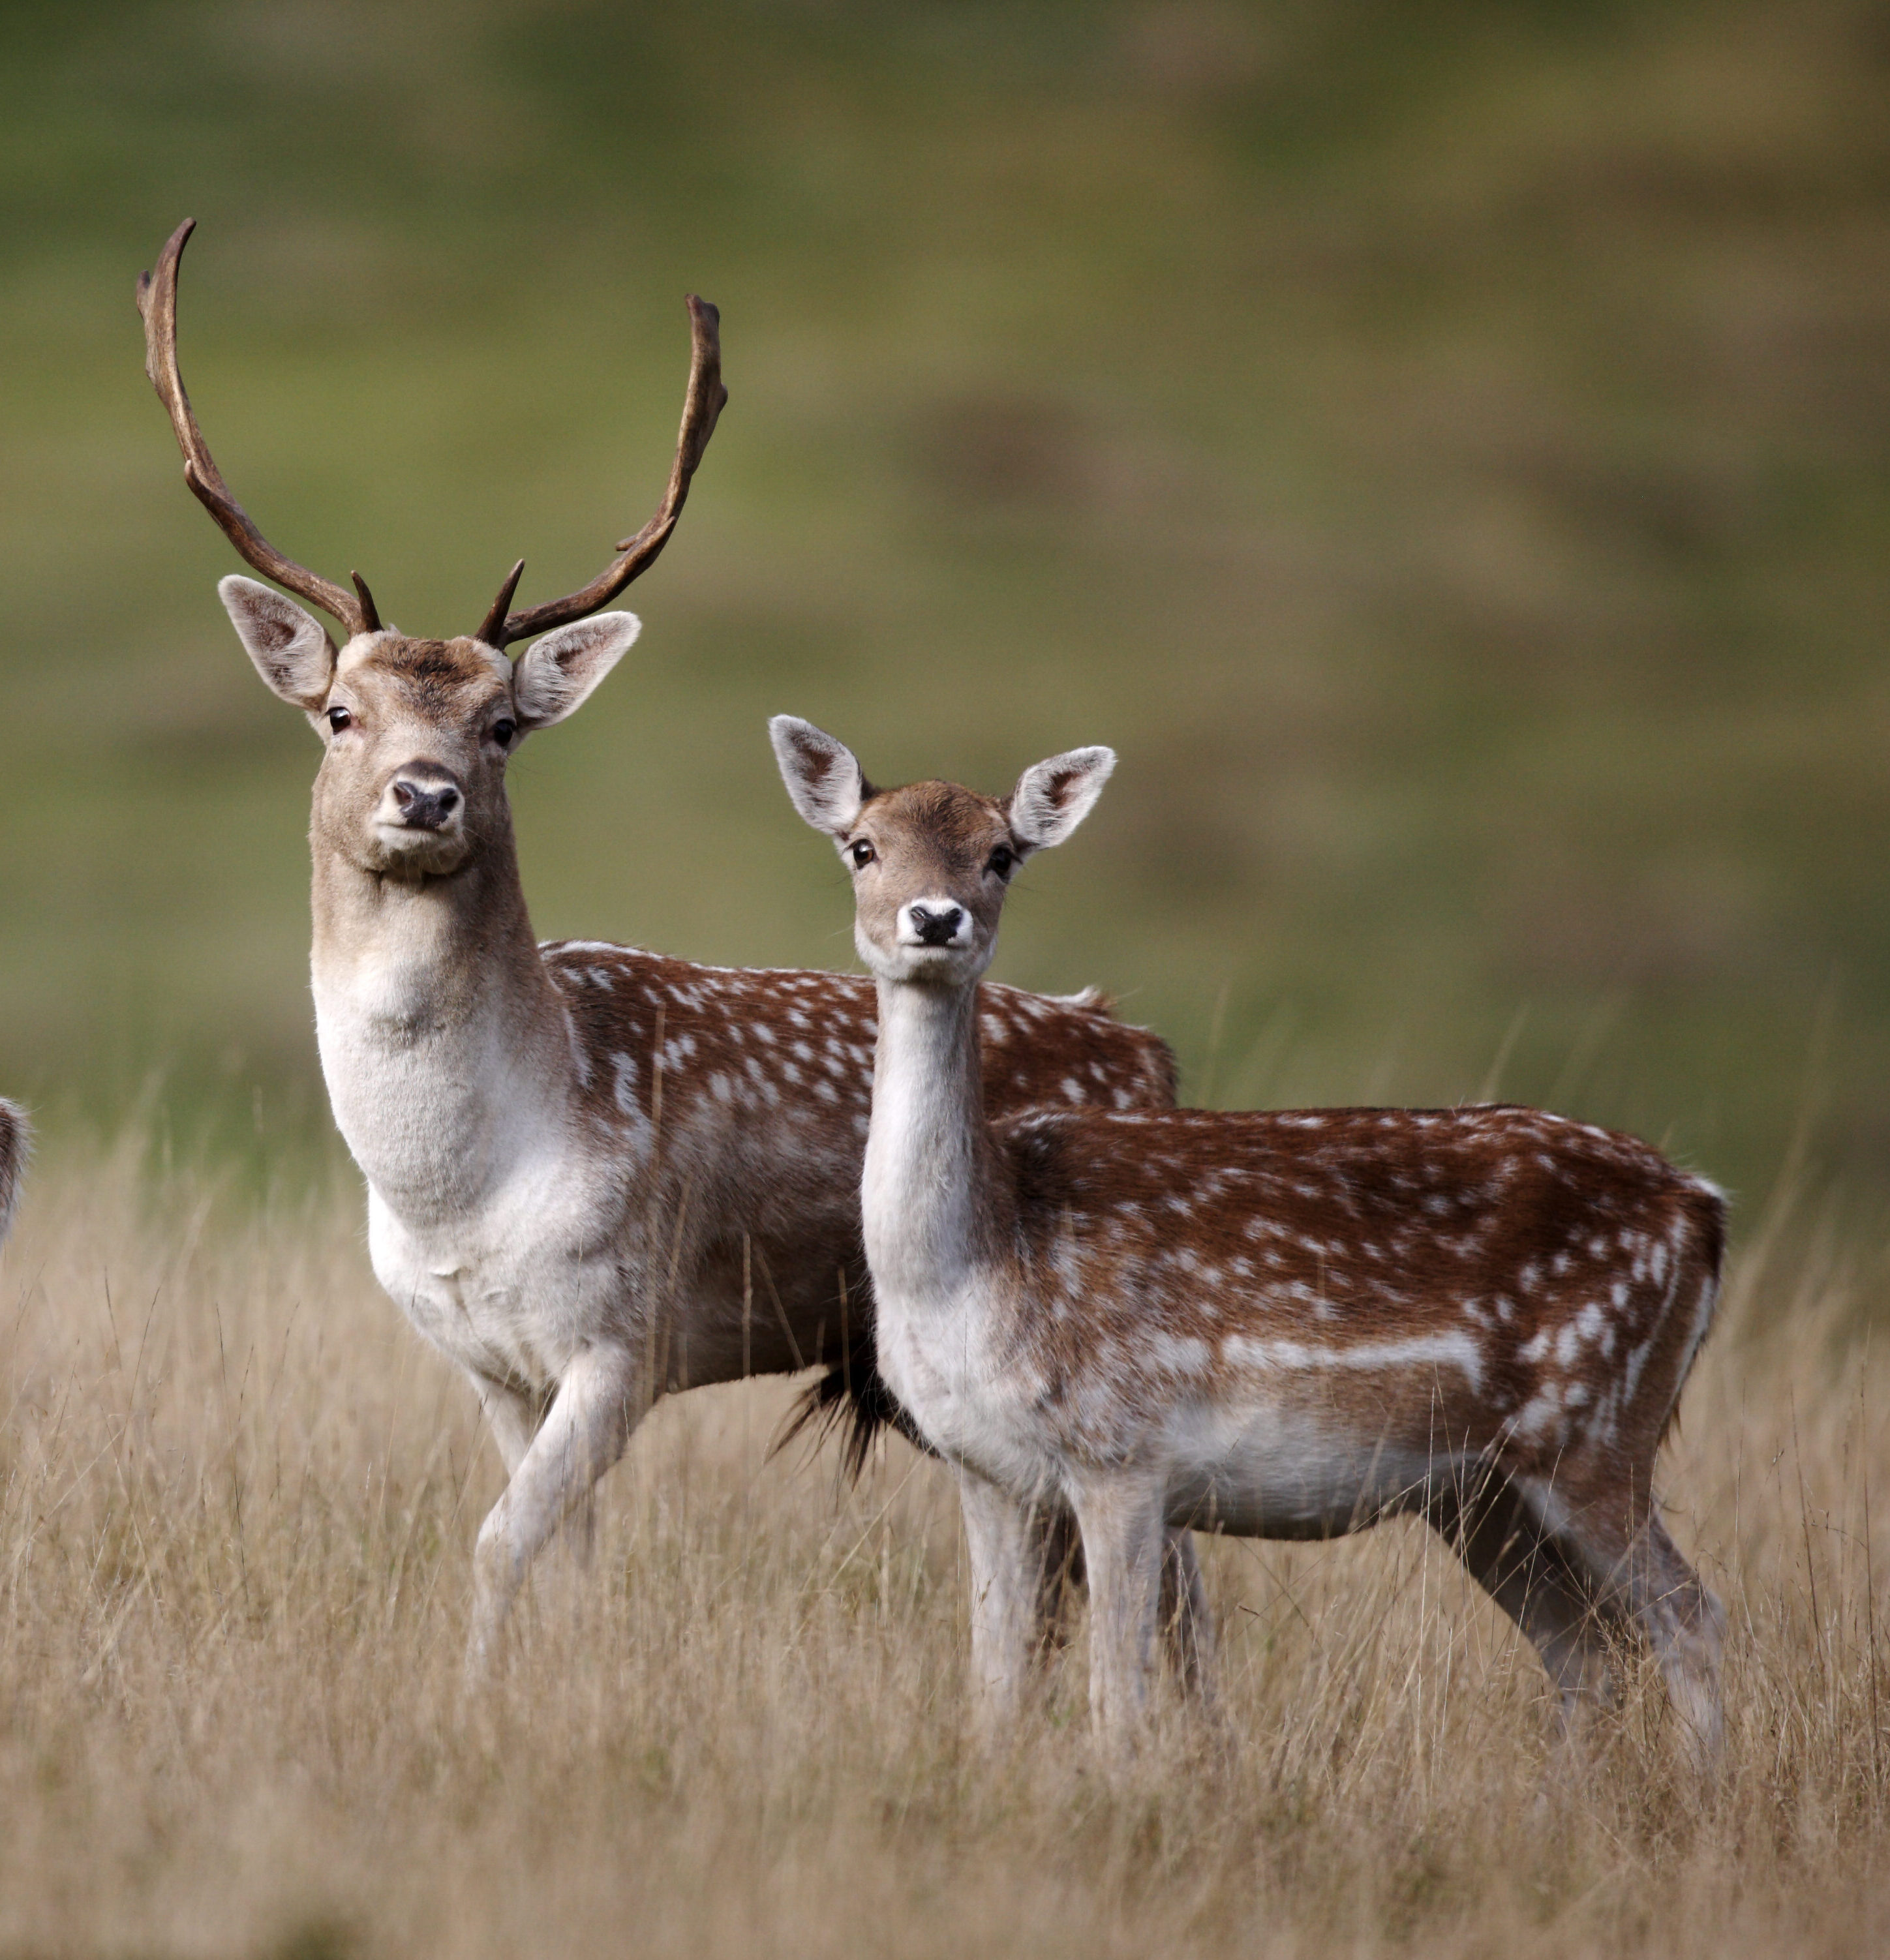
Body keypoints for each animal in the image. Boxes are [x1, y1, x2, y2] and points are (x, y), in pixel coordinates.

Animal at [135, 219, 1213, 1684]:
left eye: (501, 726)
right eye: (341, 712)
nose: (424, 793)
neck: (457, 1188)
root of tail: (1149, 1047)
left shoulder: (626, 1333)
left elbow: (498, 1542)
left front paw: (473, 1696)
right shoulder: (490, 1361)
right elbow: (562, 1559)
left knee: (1181, 1582)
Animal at [772, 716, 1728, 1767]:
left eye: (1001, 854)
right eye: (863, 847)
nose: (936, 919)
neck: (973, 1267)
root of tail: (1704, 1209)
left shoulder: (1122, 1447)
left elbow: (1118, 1697)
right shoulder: (984, 1469)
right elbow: (996, 1688)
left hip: (1596, 1426)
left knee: (1688, 1617)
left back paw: (1707, 1793)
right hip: (1479, 1488)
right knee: (1582, 1649)